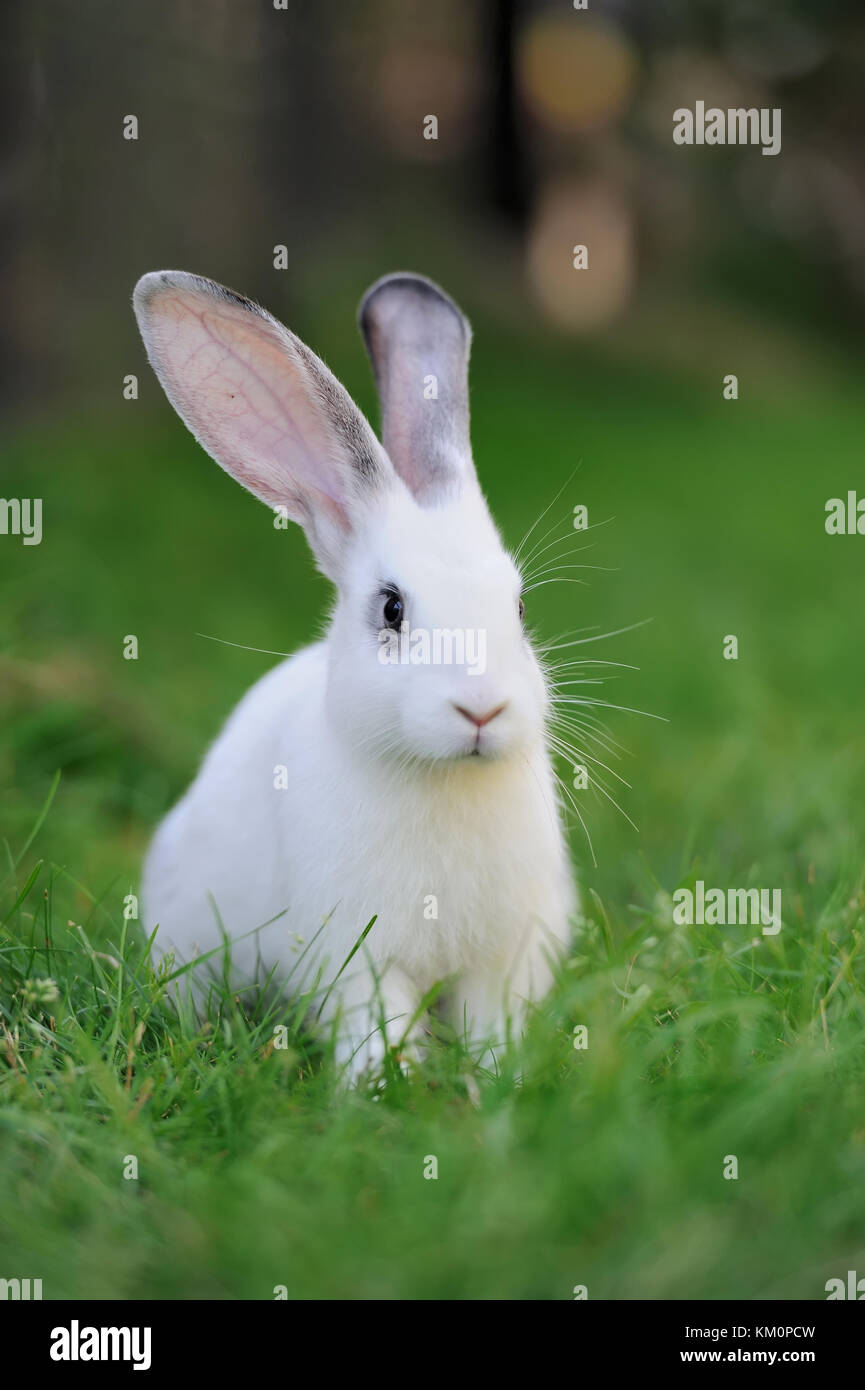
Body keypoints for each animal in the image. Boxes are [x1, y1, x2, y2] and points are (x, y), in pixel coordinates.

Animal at [134, 268, 575, 1073]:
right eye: (391, 609)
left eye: (520, 607)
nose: (482, 710)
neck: (443, 780)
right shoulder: (356, 956)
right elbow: (376, 1025)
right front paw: (380, 1085)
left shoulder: (501, 960)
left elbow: (492, 1026)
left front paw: (498, 1080)